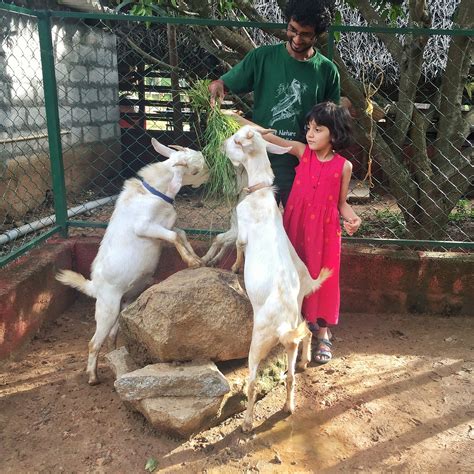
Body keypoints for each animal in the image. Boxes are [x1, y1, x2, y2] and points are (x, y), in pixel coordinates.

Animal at [56, 138, 208, 386]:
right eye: (195, 170)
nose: (210, 174)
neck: (155, 194)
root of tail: (94, 286)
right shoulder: (145, 227)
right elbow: (175, 236)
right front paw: (192, 262)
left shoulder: (165, 226)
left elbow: (181, 233)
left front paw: (197, 259)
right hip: (106, 308)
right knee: (93, 342)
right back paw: (92, 376)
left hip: (123, 304)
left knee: (111, 335)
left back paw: (115, 354)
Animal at [224, 127, 332, 434]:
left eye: (237, 140)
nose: (222, 143)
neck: (260, 195)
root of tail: (283, 324)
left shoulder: (242, 230)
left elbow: (239, 246)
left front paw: (234, 267)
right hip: (292, 336)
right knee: (294, 367)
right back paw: (291, 402)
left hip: (258, 341)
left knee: (251, 382)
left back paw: (248, 423)